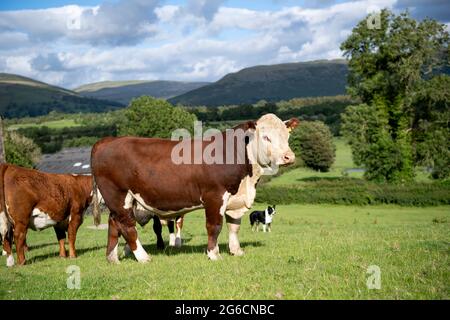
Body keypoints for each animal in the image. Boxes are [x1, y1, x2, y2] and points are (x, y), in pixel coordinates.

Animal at [90, 114, 298, 264]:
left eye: (287, 136)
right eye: (266, 137)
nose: (289, 157)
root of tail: (106, 141)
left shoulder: (236, 199)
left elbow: (234, 227)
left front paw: (236, 250)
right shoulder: (214, 196)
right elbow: (214, 226)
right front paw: (214, 254)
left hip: (121, 200)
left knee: (114, 224)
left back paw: (112, 258)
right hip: (118, 195)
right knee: (127, 226)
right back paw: (143, 257)